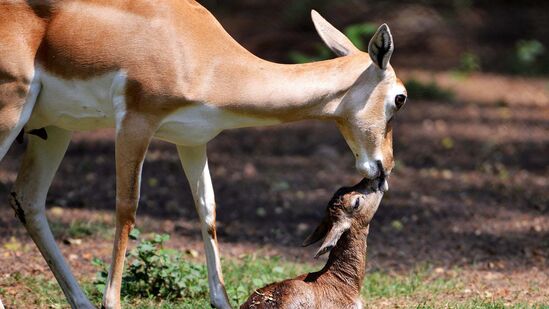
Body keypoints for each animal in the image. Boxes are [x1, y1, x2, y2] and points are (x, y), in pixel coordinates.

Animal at [1, 0, 406, 308]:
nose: (383, 168)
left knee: (28, 199)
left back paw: (80, 302)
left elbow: (207, 210)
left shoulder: (193, 140)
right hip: (11, 112)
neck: (204, 56)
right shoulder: (135, 123)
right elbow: (126, 209)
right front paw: (110, 302)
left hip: (53, 129)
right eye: (400, 98)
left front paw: (221, 300)